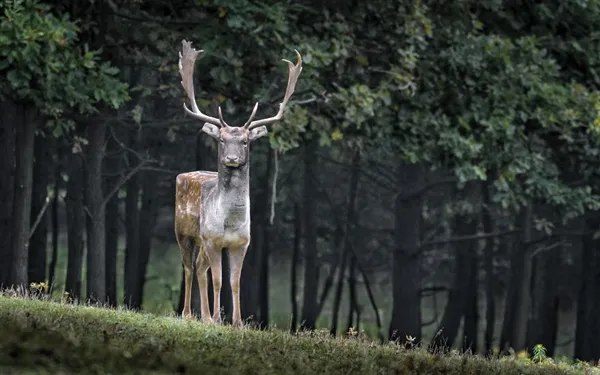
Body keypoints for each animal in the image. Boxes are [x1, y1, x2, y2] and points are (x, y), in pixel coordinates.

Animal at [176, 40, 302, 328]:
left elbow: (234, 282)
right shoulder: (212, 239)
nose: (232, 158)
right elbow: (218, 280)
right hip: (183, 233)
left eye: (245, 141)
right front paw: (218, 319)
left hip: (201, 241)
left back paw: (204, 316)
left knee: (199, 267)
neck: (230, 222)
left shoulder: (241, 243)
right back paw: (189, 314)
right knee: (188, 267)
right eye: (222, 139)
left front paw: (237, 322)